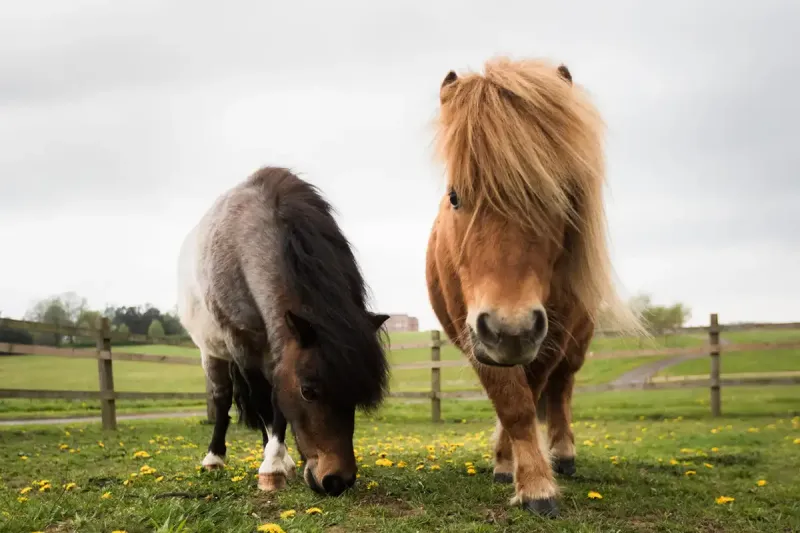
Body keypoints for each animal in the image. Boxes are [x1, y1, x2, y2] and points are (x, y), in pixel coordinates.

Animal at [177, 166, 390, 496]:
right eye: (308, 391)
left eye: (356, 395)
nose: (337, 481)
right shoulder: (243, 346)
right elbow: (264, 402)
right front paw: (272, 469)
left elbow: (277, 406)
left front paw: (277, 461)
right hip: (211, 351)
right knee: (223, 398)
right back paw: (215, 458)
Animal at [425, 57, 645, 517]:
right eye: (455, 197)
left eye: (558, 197)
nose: (510, 329)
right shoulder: (475, 334)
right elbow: (513, 404)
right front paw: (525, 477)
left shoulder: (550, 335)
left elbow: (534, 396)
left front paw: (535, 479)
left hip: (574, 341)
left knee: (561, 391)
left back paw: (562, 454)